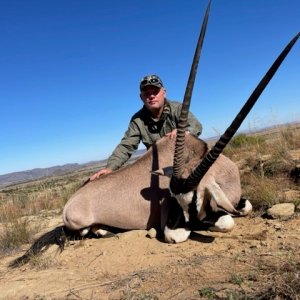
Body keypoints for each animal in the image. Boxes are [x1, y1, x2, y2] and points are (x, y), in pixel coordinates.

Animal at [10, 0, 298, 268]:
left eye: (194, 200)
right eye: (174, 200)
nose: (176, 226)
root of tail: (72, 200)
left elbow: (244, 208)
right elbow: (223, 222)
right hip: (78, 223)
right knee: (82, 232)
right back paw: (105, 230)